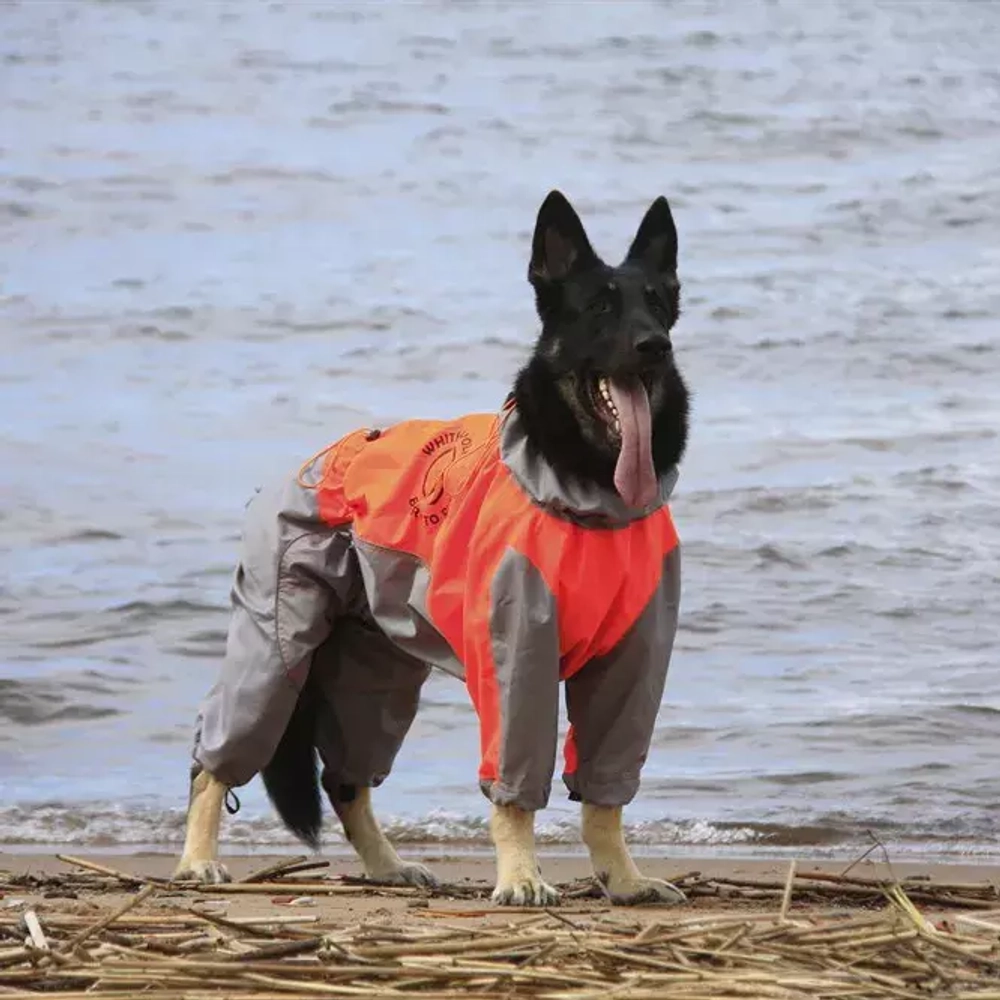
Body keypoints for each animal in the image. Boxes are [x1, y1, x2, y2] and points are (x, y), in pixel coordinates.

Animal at [175, 190, 691, 906]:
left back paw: (385, 865)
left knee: (345, 778)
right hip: (276, 651)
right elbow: (515, 790)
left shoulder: (633, 663)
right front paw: (522, 875)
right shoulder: (517, 656)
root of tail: (315, 461)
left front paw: (623, 877)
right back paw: (197, 859)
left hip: (378, 672)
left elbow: (605, 797)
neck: (587, 493)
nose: (655, 346)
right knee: (216, 757)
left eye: (658, 301)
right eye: (600, 308)